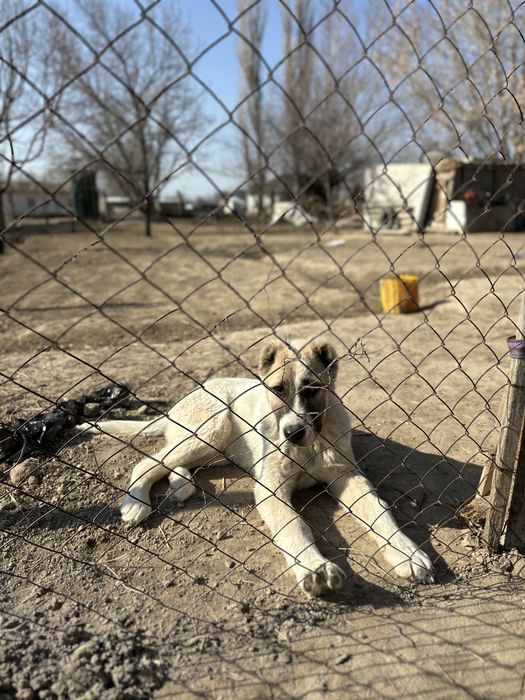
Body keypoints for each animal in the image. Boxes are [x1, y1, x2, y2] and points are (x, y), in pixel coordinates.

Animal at [81, 338, 434, 595]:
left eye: (311, 390)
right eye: (277, 390)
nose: (292, 433)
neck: (312, 443)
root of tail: (180, 402)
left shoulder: (348, 477)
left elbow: (380, 513)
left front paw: (407, 552)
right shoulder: (270, 488)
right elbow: (294, 524)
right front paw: (314, 567)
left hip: (215, 447)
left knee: (175, 463)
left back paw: (181, 485)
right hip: (211, 429)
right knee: (148, 462)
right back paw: (135, 503)